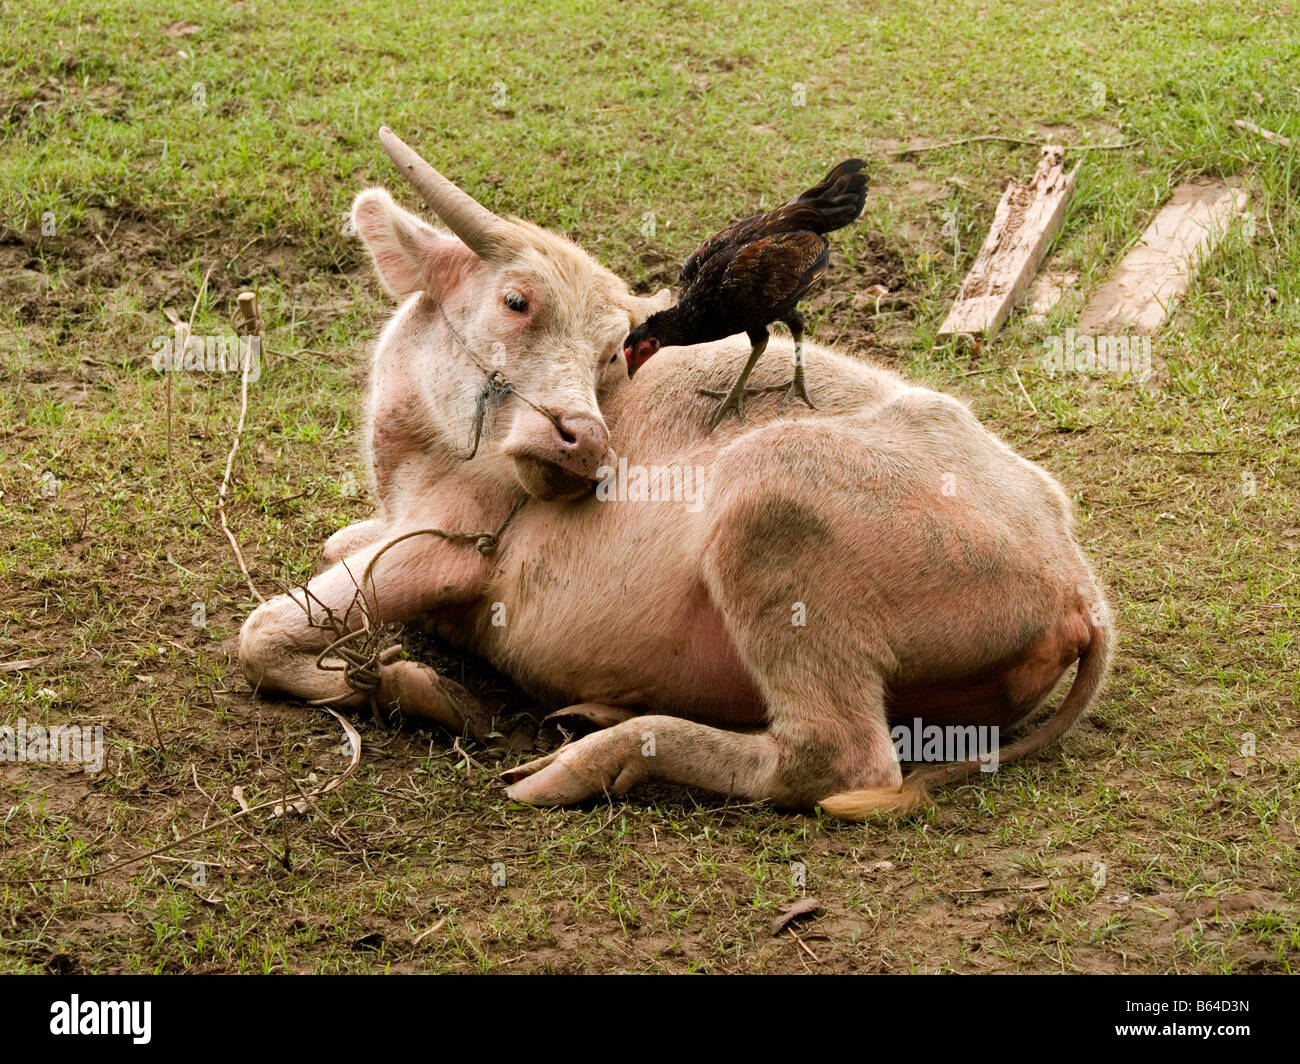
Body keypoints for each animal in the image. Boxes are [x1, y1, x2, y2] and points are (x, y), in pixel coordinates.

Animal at [239, 128, 1112, 816]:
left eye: (607, 352)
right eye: (517, 301)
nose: (583, 444)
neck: (417, 452)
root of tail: (1079, 588)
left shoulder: (446, 549)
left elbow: (262, 632)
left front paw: (415, 690)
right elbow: (329, 551)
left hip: (769, 500)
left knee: (836, 759)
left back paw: (586, 761)